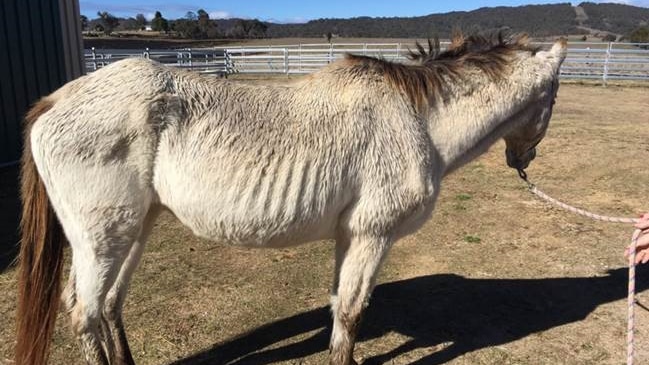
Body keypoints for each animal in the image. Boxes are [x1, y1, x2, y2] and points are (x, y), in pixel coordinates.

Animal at [13, 32, 560, 364]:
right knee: (84, 312)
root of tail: (57, 100)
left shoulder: (350, 235)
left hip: (136, 228)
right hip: (102, 237)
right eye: (553, 97)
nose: (524, 159)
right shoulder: (373, 234)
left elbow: (340, 307)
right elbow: (352, 311)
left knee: (109, 305)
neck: (416, 118)